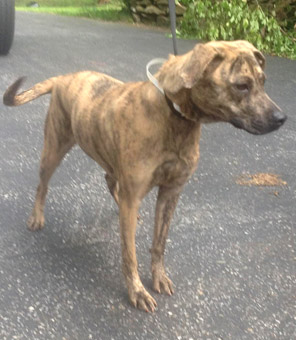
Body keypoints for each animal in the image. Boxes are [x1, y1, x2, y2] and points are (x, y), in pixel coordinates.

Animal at [2, 39, 286, 310]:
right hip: (55, 147)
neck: (173, 115)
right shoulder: (135, 193)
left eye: (263, 81)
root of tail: (64, 77)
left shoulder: (170, 193)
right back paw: (36, 216)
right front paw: (137, 292)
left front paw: (158, 277)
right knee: (43, 184)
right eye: (242, 86)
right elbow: (130, 255)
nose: (281, 118)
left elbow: (159, 243)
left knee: (109, 180)